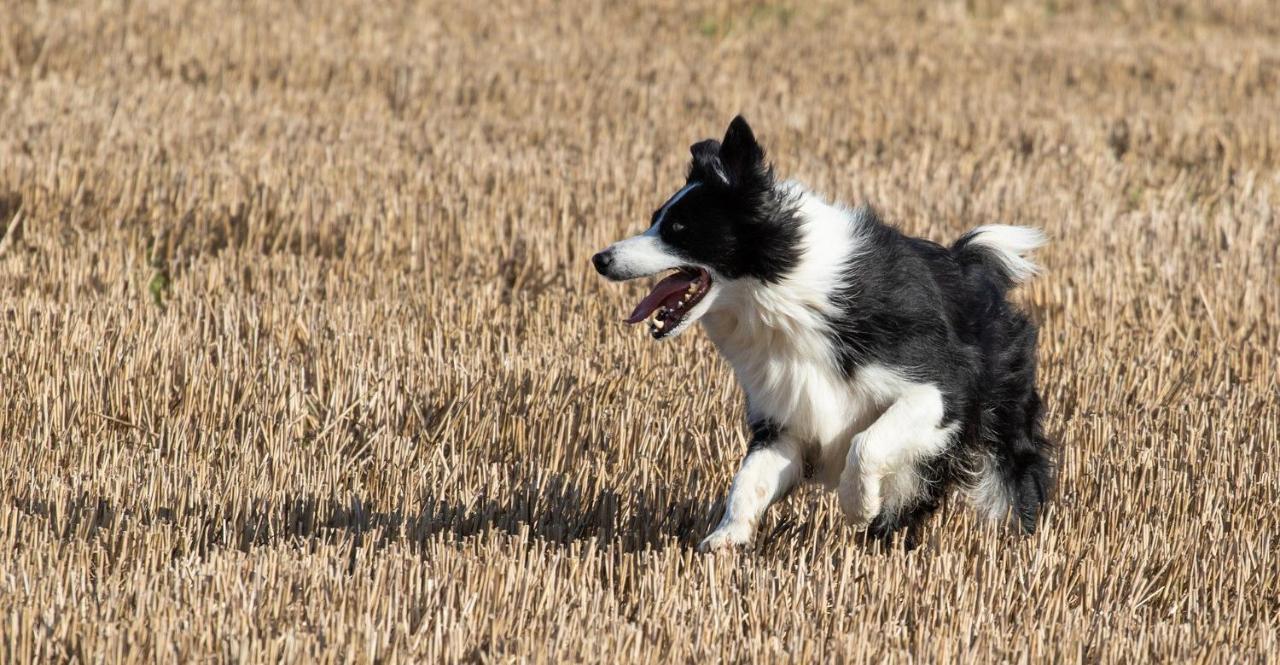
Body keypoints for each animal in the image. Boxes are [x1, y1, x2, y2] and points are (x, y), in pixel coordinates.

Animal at [593, 115, 1054, 549]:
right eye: (655, 220)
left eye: (679, 229)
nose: (599, 258)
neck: (785, 298)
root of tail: (969, 260)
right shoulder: (786, 418)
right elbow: (748, 480)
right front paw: (726, 537)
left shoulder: (939, 389)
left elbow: (866, 443)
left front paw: (858, 504)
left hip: (1000, 417)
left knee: (1013, 481)